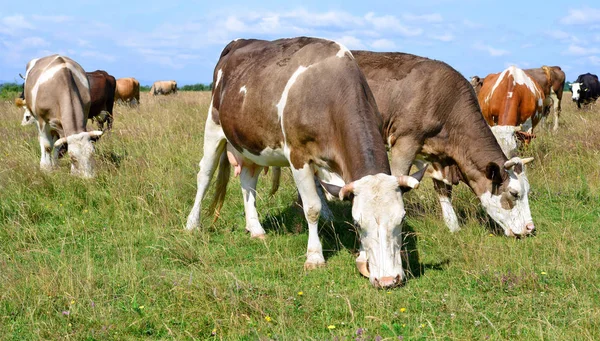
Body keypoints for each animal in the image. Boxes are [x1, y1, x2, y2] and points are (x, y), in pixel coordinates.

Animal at [185, 37, 424, 286]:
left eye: (401, 218)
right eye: (358, 222)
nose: (388, 279)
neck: (329, 94)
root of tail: (239, 42)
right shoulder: (298, 156)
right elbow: (312, 208)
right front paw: (315, 257)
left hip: (252, 143)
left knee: (248, 182)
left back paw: (255, 228)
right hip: (213, 126)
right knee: (204, 175)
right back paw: (192, 224)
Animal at [352, 51, 536, 236]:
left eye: (528, 190)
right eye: (514, 193)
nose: (530, 228)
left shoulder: (437, 156)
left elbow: (443, 190)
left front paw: (453, 227)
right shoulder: (405, 142)